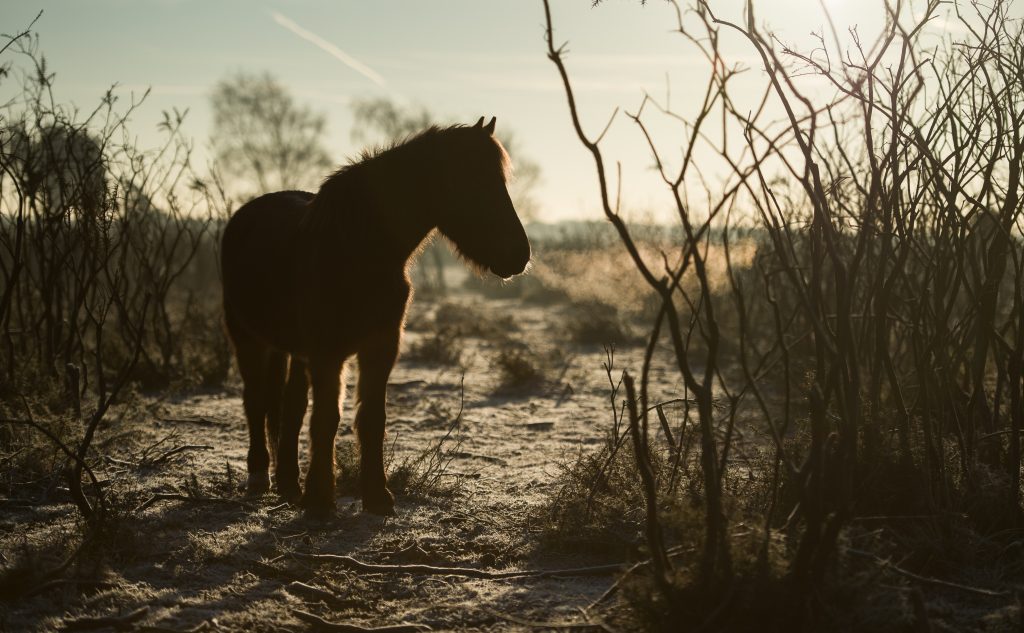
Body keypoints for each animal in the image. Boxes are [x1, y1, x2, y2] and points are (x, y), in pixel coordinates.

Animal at [221, 115, 532, 514]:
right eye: (473, 181)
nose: (519, 254)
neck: (357, 249)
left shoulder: (381, 347)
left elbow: (371, 419)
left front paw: (376, 496)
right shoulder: (328, 352)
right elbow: (327, 419)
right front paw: (320, 501)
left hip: (292, 351)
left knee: (289, 407)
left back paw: (289, 483)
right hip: (247, 339)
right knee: (255, 400)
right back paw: (260, 476)